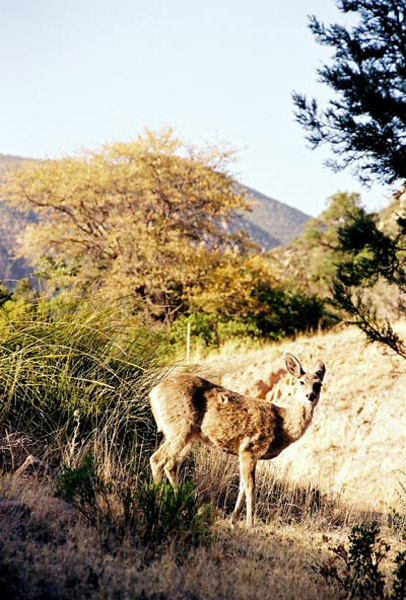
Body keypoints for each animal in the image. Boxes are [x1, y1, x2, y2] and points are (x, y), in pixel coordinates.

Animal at [150, 354, 326, 528]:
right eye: (301, 382)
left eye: (318, 384)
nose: (310, 396)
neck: (283, 425)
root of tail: (154, 393)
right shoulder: (250, 448)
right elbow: (250, 486)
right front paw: (250, 523)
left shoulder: (246, 453)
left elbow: (241, 485)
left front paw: (233, 520)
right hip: (180, 427)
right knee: (157, 459)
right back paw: (157, 501)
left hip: (189, 436)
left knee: (172, 464)